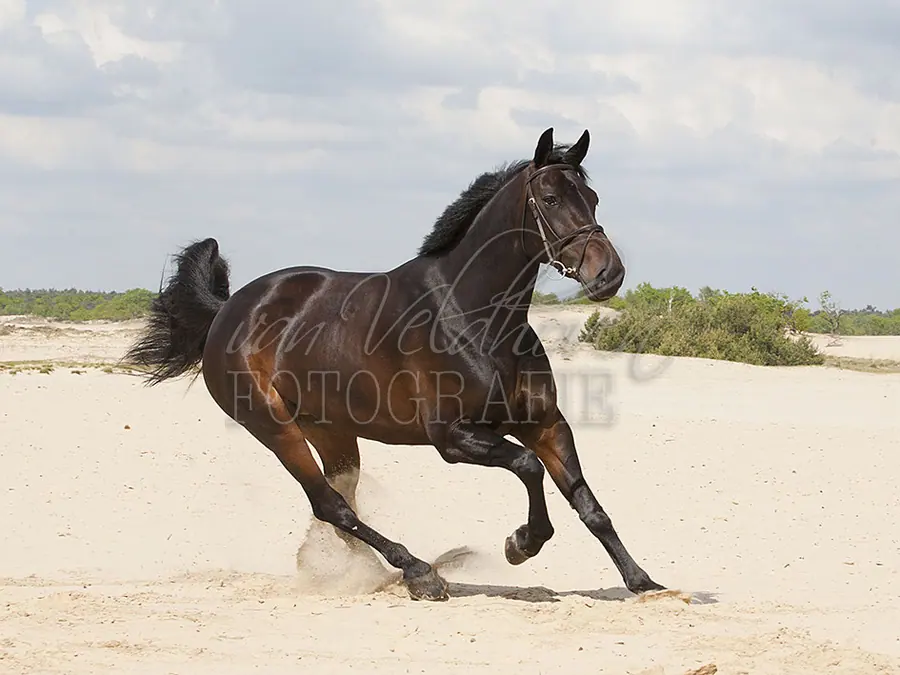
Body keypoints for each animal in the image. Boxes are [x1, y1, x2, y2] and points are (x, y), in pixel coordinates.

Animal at [125, 127, 665, 601]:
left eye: (592, 199)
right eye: (550, 200)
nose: (609, 274)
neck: (474, 315)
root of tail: (229, 311)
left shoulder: (546, 424)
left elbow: (588, 504)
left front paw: (643, 581)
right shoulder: (454, 437)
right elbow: (529, 468)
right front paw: (520, 544)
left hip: (332, 431)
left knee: (339, 507)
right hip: (275, 427)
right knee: (331, 506)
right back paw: (419, 573)